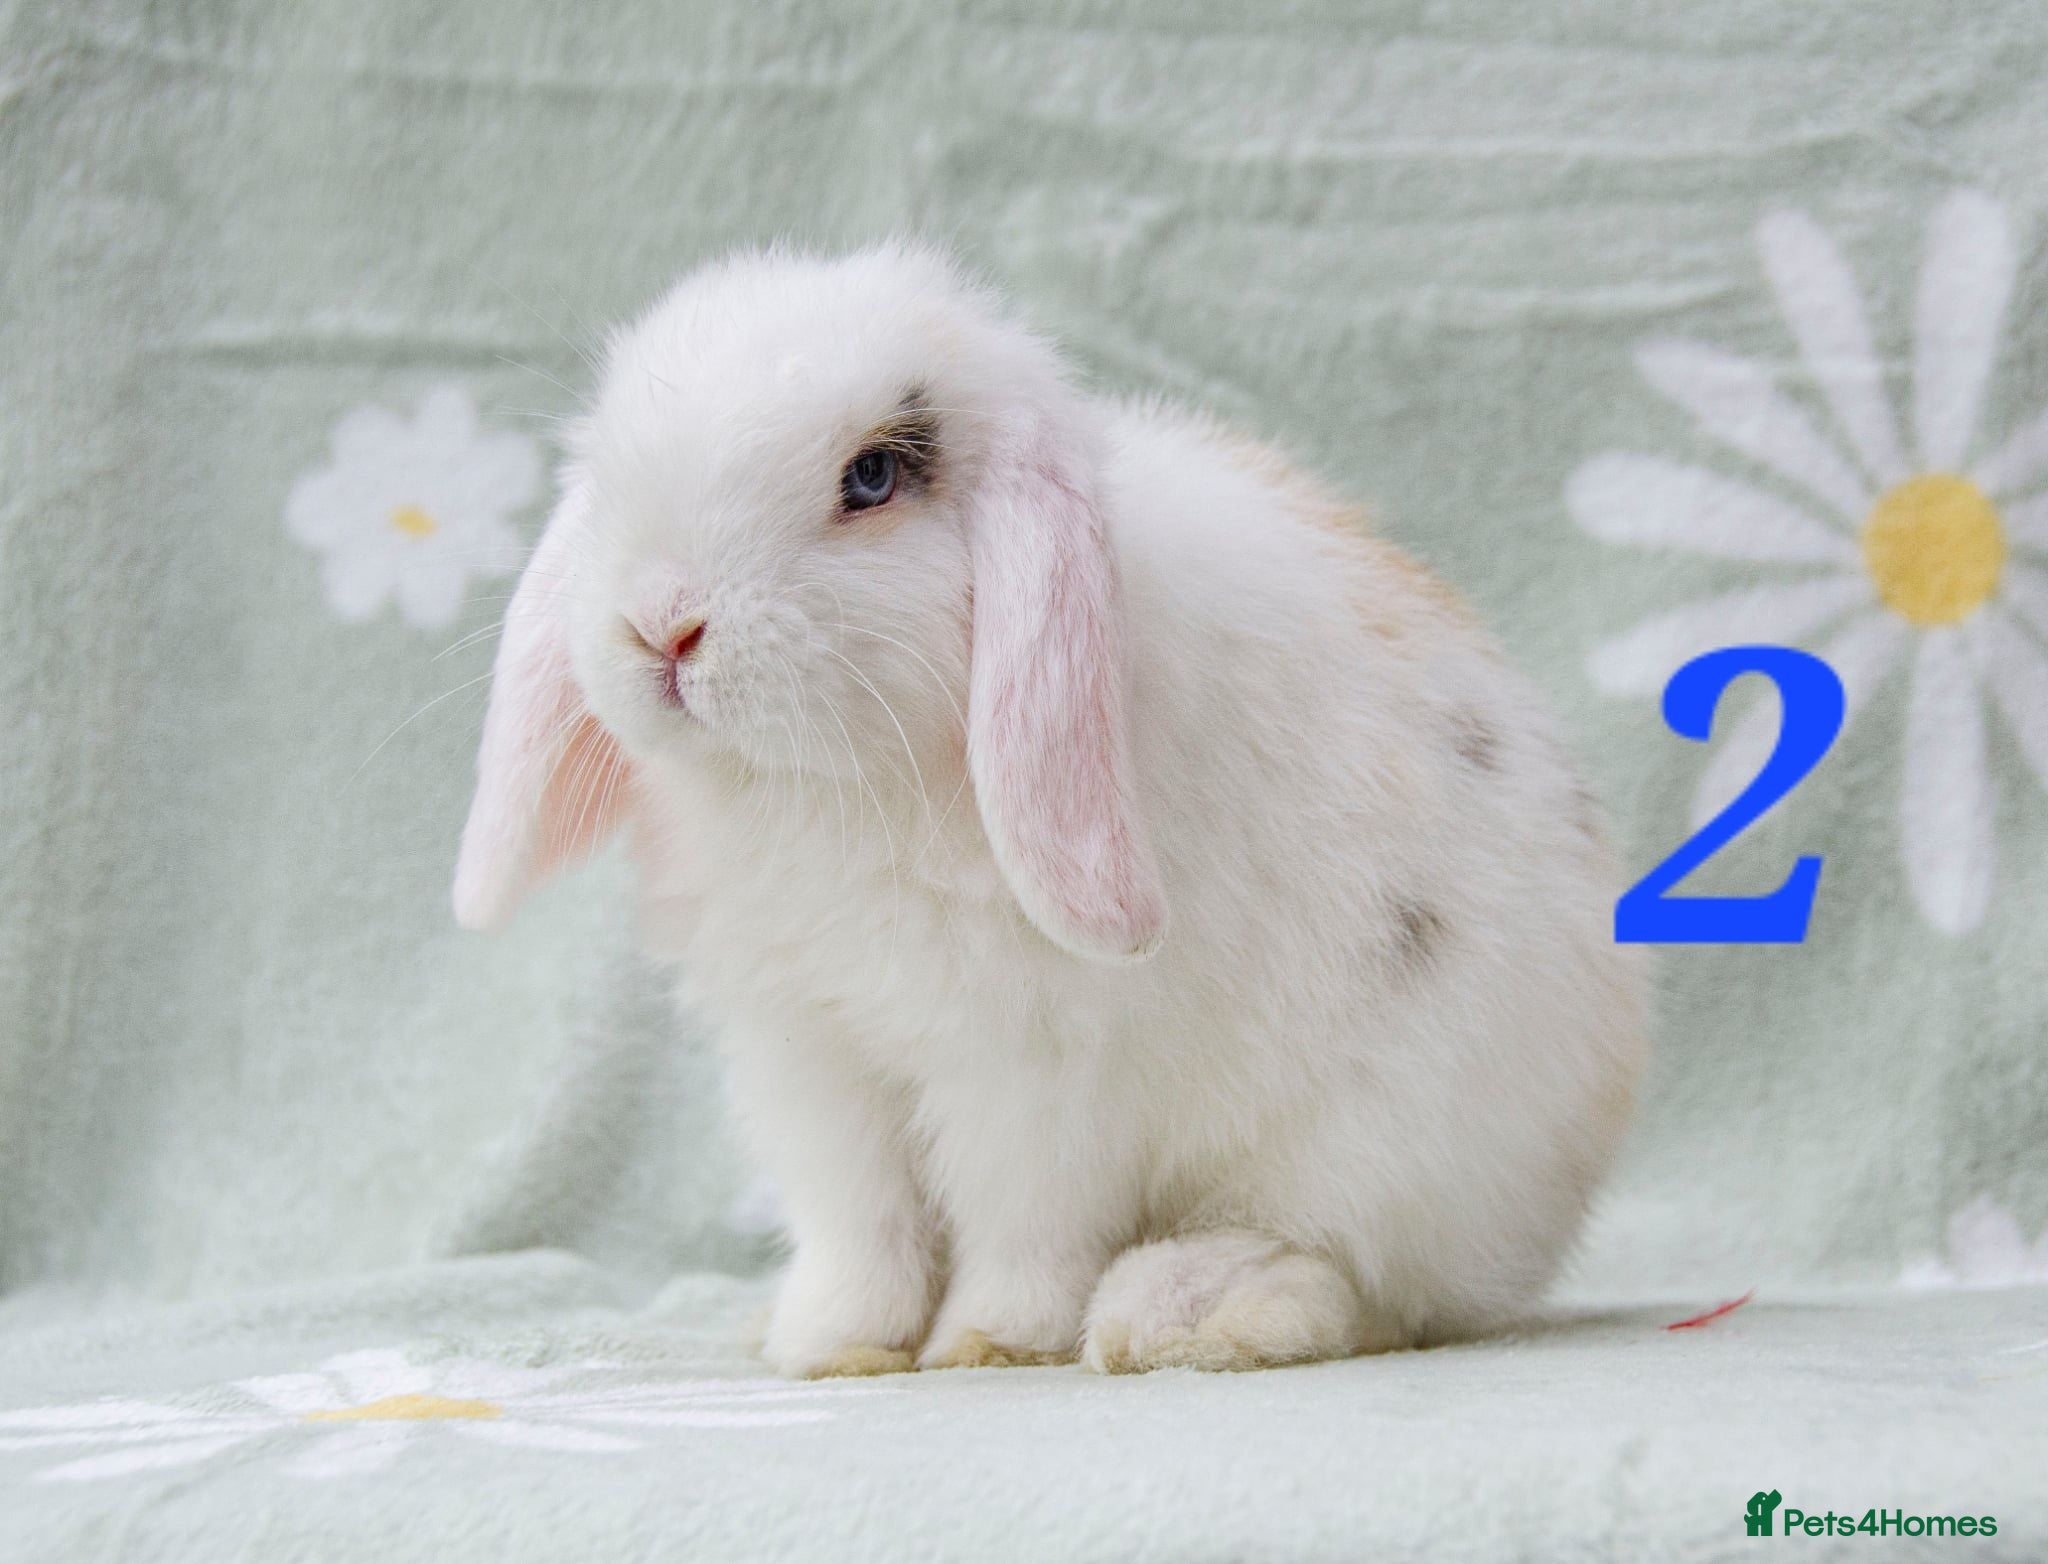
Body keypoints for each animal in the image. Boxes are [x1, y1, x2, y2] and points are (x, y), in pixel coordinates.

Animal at [454, 242, 1648, 1378]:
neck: (828, 792)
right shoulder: (812, 1055)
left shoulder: (1033, 1072)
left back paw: (1184, 1313)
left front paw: (987, 1340)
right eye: (606, 479)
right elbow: (857, 1218)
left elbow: (1019, 1218)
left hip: (1373, 1151)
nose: (662, 624)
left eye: (872, 475)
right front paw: (830, 1345)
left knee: (1364, 1288)